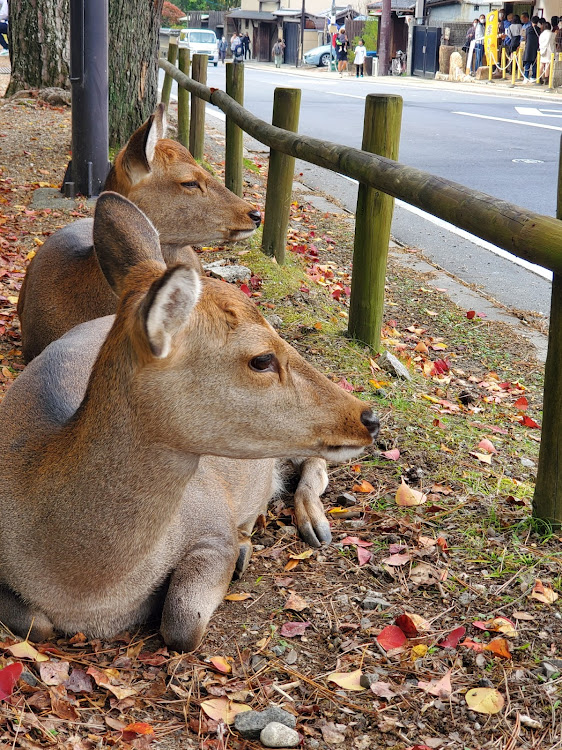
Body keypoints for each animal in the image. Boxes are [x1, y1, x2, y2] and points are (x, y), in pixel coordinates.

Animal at [0, 192, 378, 652]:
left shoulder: (210, 519)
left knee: (314, 464)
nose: (368, 416)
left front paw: (239, 554)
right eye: (261, 359)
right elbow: (35, 623)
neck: (90, 594)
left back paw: (311, 526)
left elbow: (183, 623)